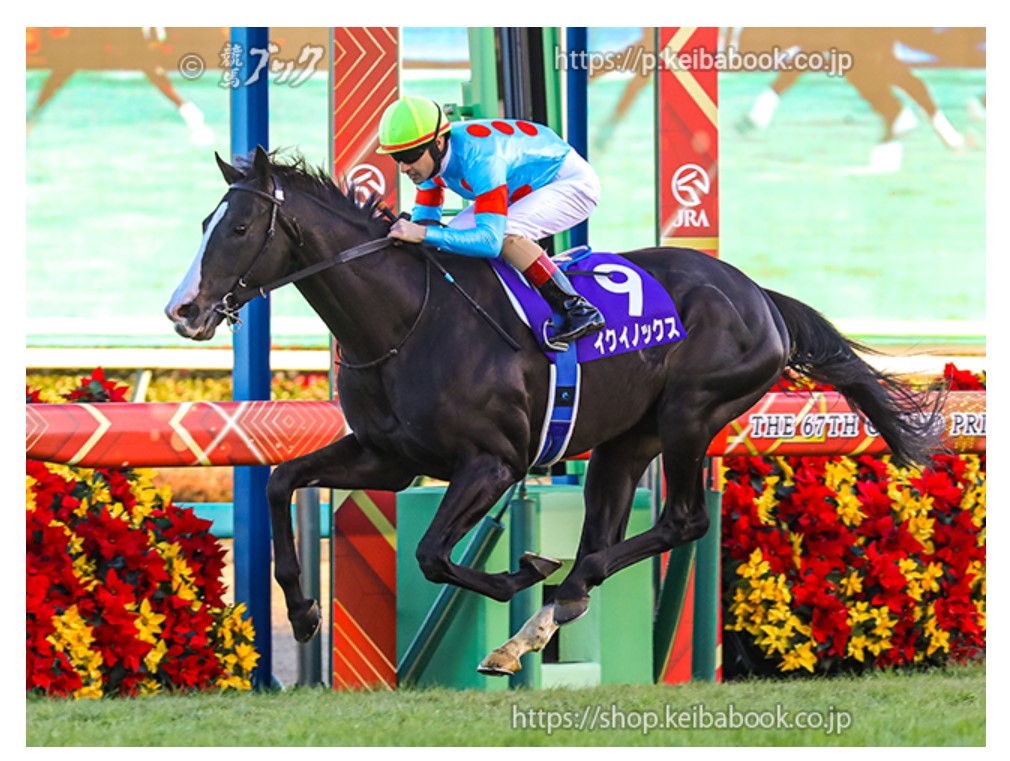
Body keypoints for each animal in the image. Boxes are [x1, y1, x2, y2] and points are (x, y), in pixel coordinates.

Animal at [165, 147, 944, 675]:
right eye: (203, 222)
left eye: (238, 229)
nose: (183, 310)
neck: (406, 321)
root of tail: (759, 294)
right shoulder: (388, 456)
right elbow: (279, 480)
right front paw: (300, 611)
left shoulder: (493, 462)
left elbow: (431, 553)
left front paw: (521, 571)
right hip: (626, 441)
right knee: (610, 529)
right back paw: (542, 621)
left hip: (691, 415)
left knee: (682, 520)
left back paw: (556, 594)